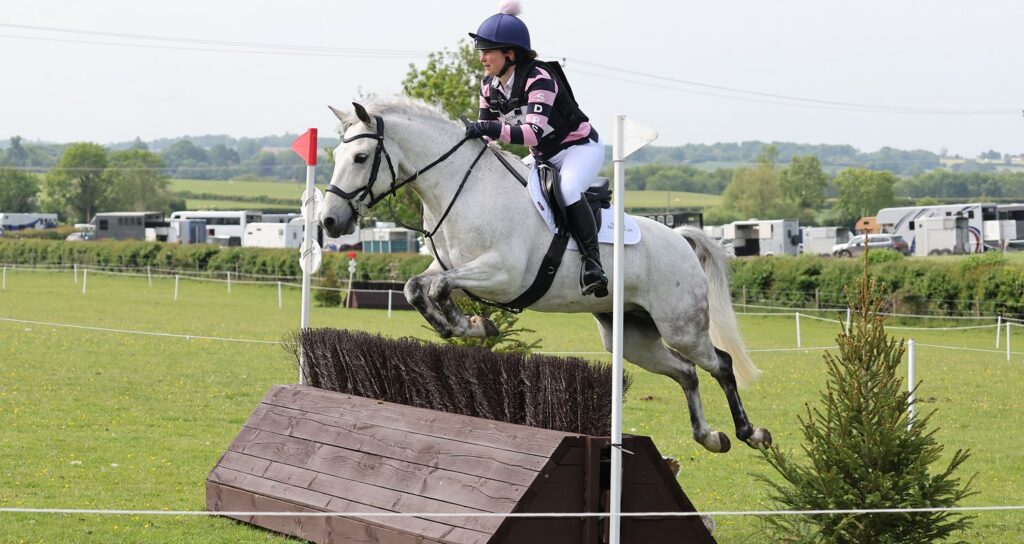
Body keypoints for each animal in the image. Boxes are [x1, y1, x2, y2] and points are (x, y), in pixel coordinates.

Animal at [319, 96, 770, 450]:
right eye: (337, 157)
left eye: (360, 158)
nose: (328, 221)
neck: (463, 188)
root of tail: (680, 238)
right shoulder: (450, 267)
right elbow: (417, 288)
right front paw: (464, 326)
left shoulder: (503, 275)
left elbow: (438, 287)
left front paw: (473, 325)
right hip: (630, 337)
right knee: (686, 372)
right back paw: (710, 437)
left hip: (682, 326)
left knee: (720, 364)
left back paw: (751, 432)